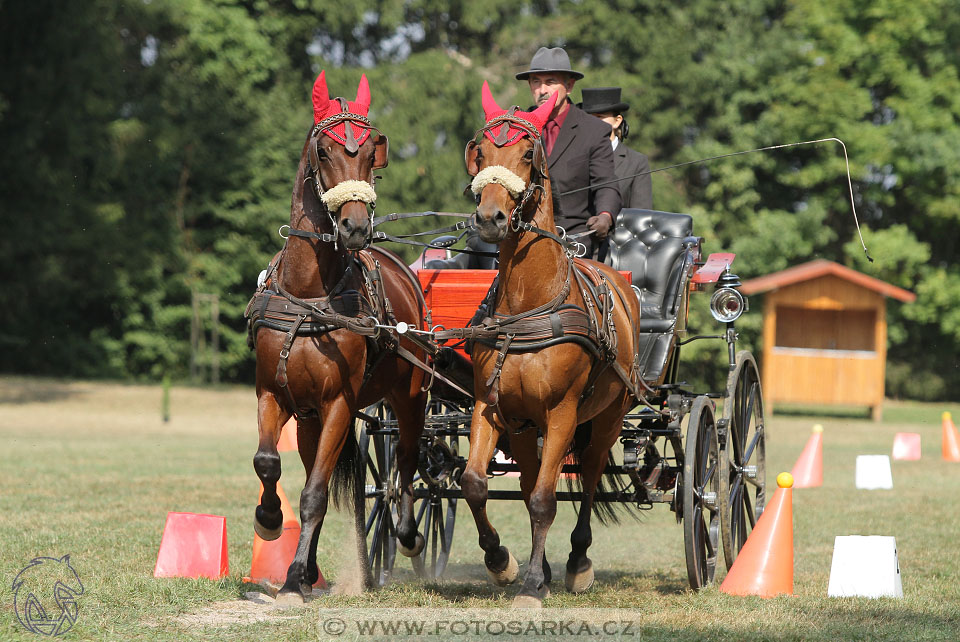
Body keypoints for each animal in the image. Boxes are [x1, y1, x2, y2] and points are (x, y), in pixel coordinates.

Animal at [248, 70, 428, 600]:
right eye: (325, 152)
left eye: (370, 152)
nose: (354, 227)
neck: (309, 294)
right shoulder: (273, 393)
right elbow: (269, 462)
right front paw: (270, 521)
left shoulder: (339, 405)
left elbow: (313, 495)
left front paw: (291, 578)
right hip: (308, 419)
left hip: (409, 396)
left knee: (406, 461)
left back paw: (406, 532)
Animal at [460, 85, 640, 604]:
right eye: (481, 152)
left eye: (527, 154)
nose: (491, 218)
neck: (528, 305)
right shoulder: (490, 406)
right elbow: (476, 483)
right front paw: (501, 562)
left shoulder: (562, 412)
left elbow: (545, 498)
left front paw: (532, 585)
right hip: (524, 428)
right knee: (525, 479)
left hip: (607, 417)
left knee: (591, 476)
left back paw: (577, 562)